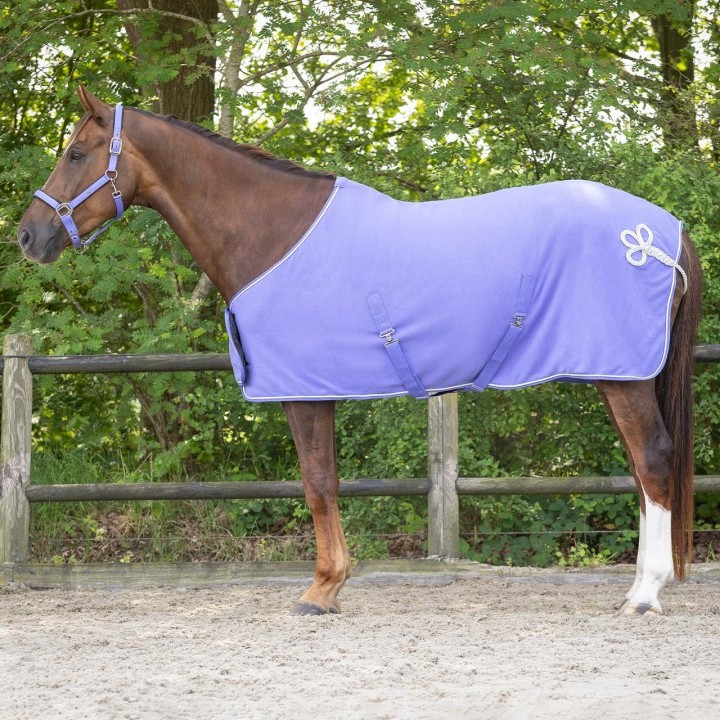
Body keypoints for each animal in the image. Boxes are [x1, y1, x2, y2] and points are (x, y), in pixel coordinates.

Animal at [17, 86, 702, 616]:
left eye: (76, 153)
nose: (29, 236)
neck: (273, 235)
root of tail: (661, 232)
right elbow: (326, 482)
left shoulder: (303, 390)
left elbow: (318, 483)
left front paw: (323, 590)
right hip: (617, 373)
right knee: (642, 469)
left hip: (623, 375)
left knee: (653, 459)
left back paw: (645, 594)